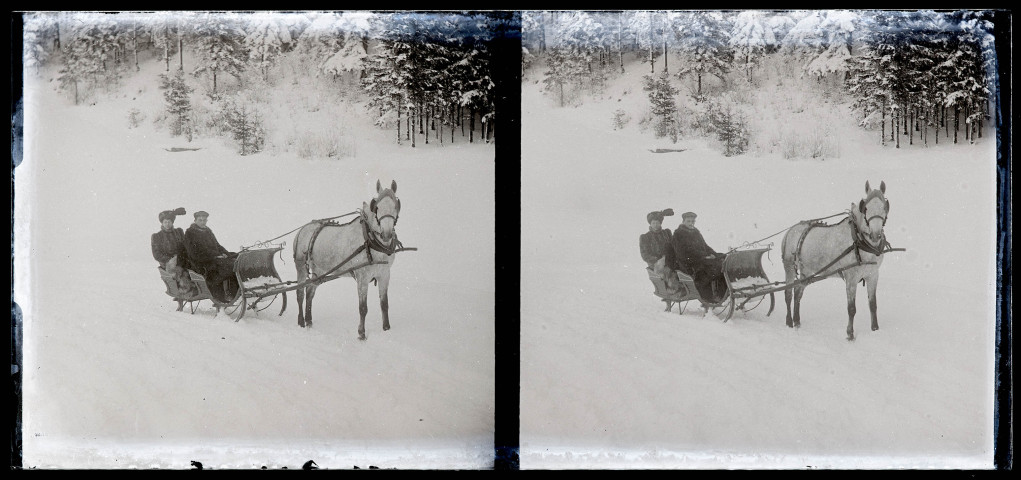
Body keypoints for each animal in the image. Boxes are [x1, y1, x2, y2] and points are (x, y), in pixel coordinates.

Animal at [292, 177, 402, 339]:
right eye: (377, 207)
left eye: (396, 206)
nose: (386, 234)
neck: (370, 241)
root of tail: (303, 229)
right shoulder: (362, 276)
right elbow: (363, 308)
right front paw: (361, 334)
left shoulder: (385, 274)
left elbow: (384, 304)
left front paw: (386, 329)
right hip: (301, 267)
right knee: (300, 292)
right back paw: (300, 321)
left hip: (320, 271)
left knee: (310, 291)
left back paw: (309, 320)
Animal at [780, 179, 894, 341]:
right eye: (865, 208)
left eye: (885, 206)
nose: (875, 235)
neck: (858, 241)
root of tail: (791, 230)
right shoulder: (851, 278)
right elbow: (851, 308)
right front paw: (850, 334)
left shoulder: (873, 275)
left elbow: (873, 304)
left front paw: (875, 330)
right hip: (789, 267)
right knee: (788, 293)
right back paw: (789, 321)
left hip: (807, 272)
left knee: (798, 292)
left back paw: (797, 321)